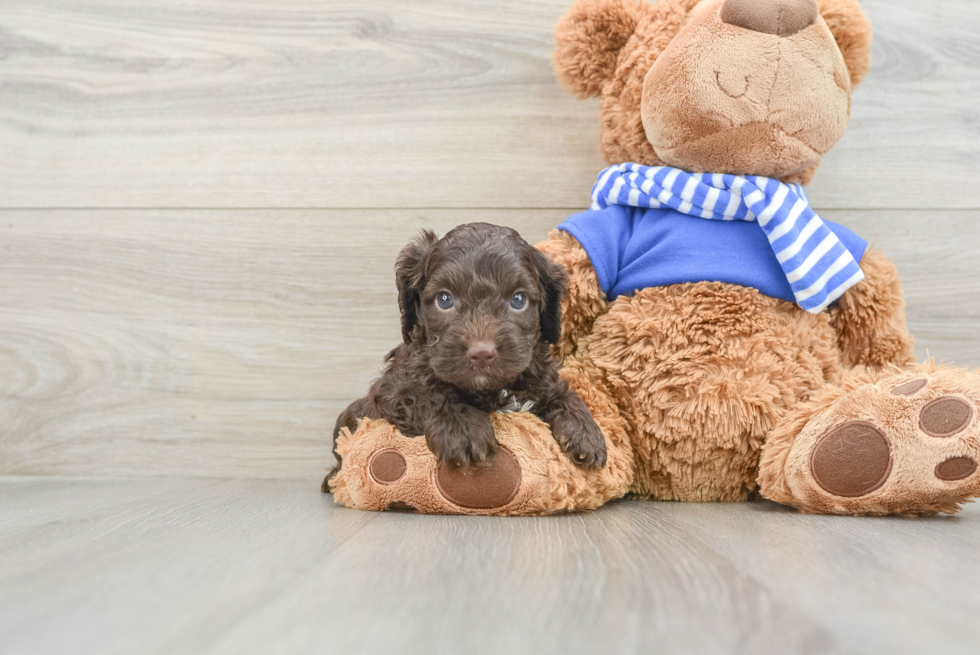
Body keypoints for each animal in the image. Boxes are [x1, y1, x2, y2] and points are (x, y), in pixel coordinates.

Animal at [326, 223, 608, 484]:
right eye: (444, 299)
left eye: (518, 300)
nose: (481, 353)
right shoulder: (391, 389)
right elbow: (425, 393)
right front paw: (463, 429)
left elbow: (559, 392)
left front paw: (586, 431)